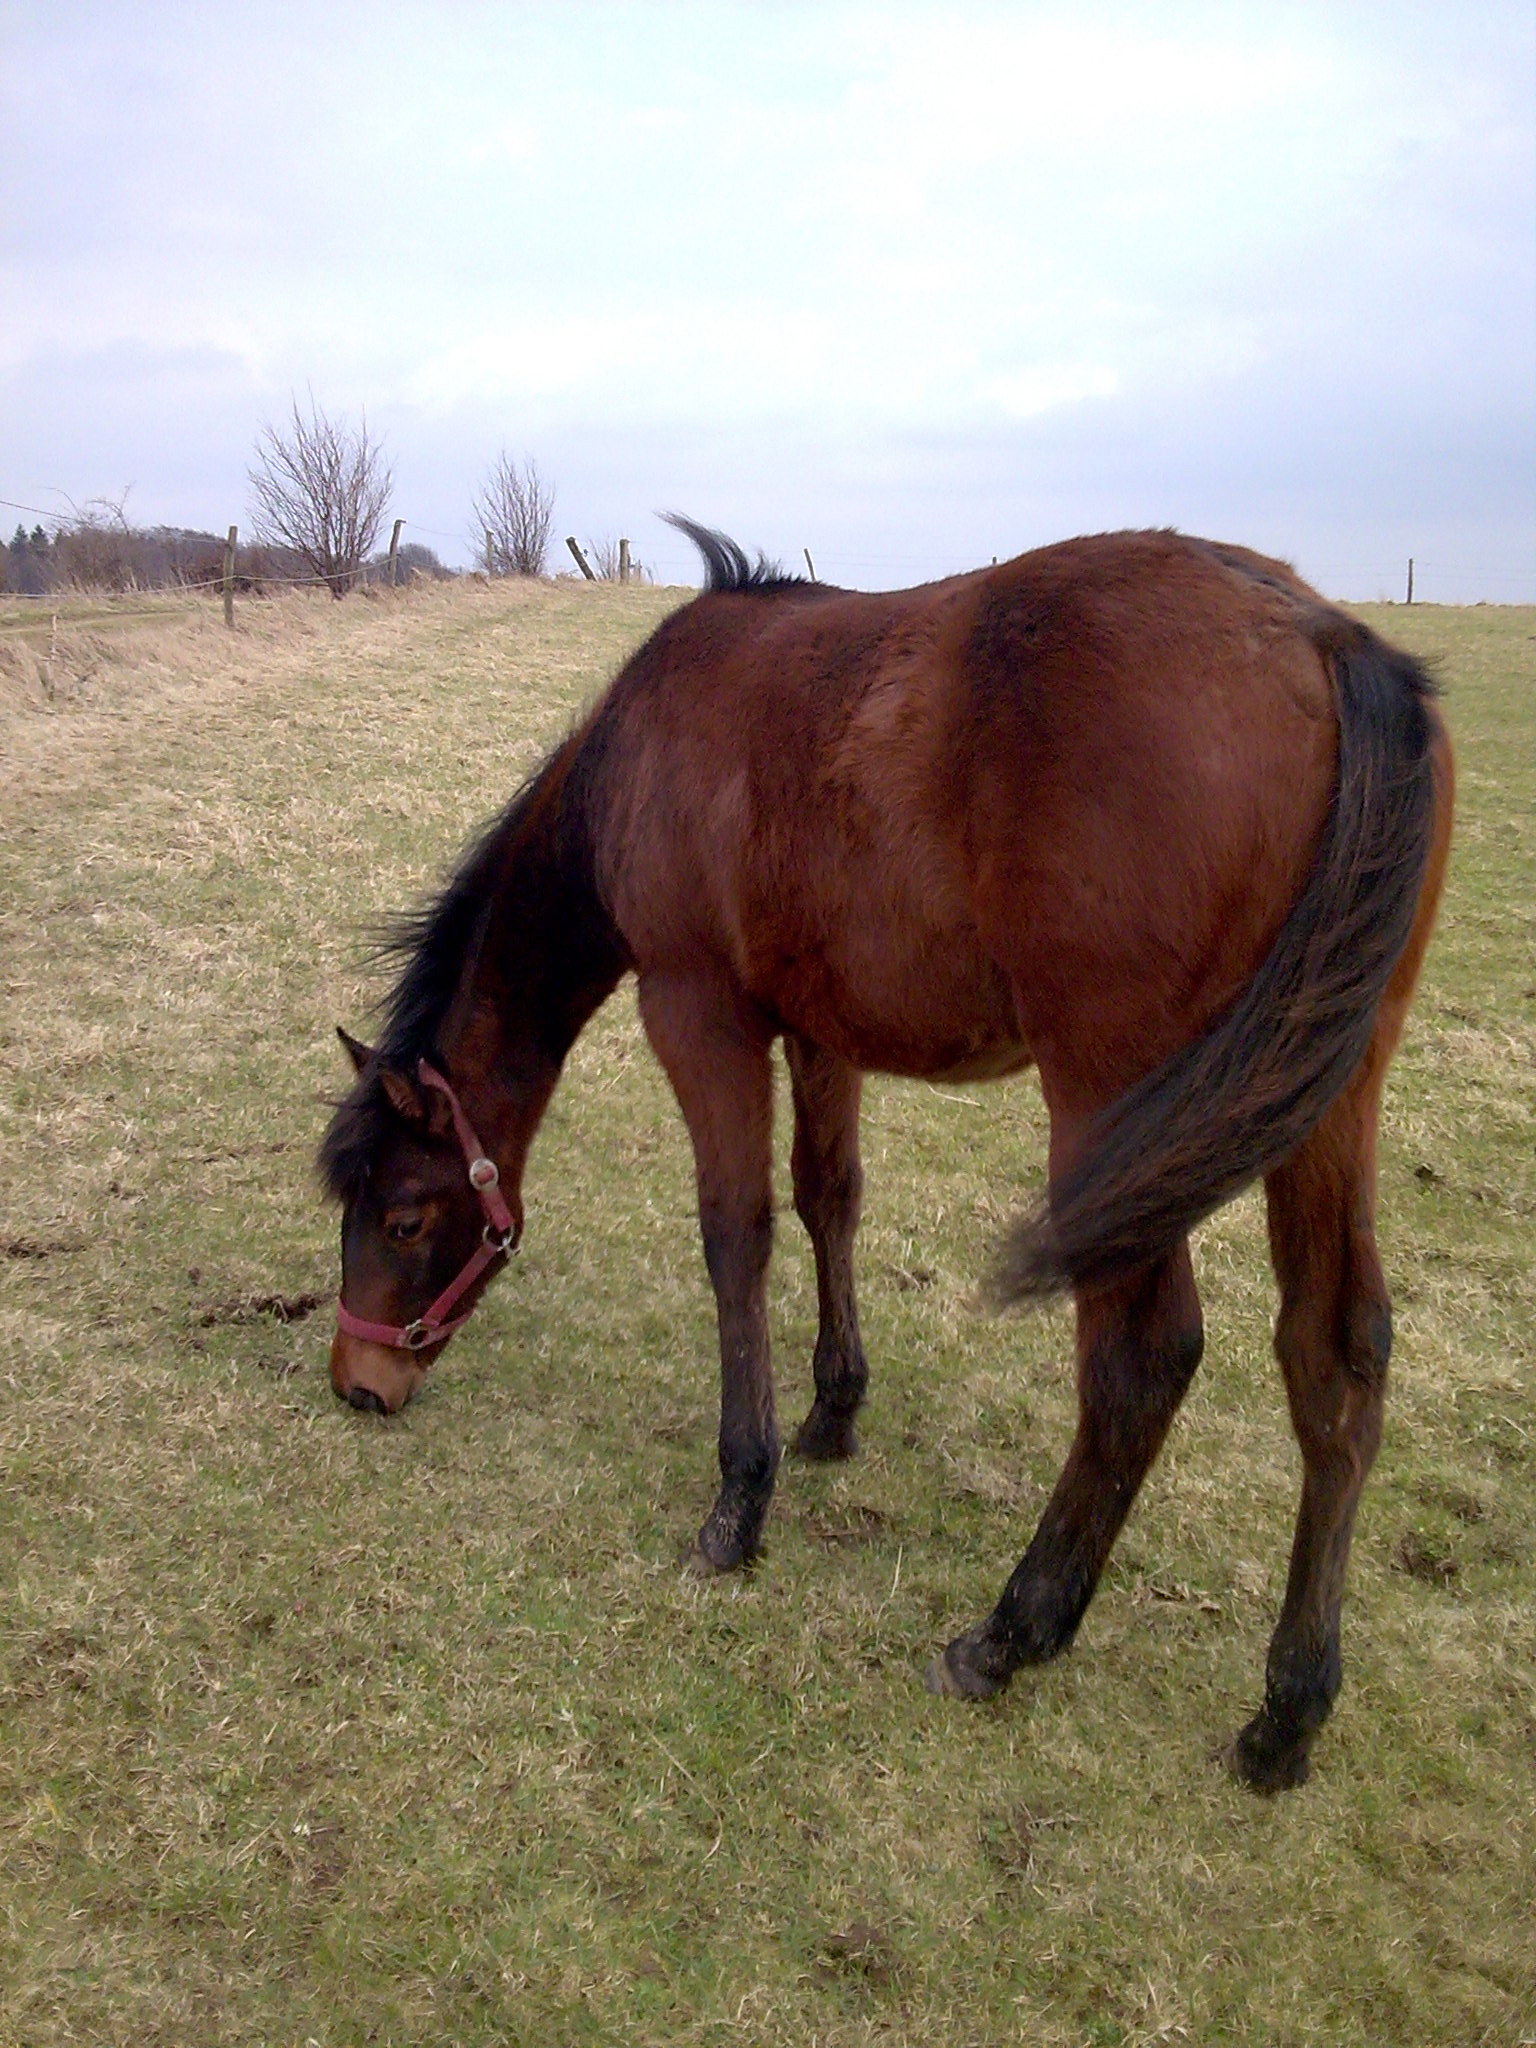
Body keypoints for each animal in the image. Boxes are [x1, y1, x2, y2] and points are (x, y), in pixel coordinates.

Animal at [320, 520, 1453, 1791]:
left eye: (405, 1218)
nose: (360, 1383)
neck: (638, 755)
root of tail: (1321, 636)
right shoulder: (819, 1028)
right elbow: (830, 1202)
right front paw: (833, 1411)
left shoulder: (698, 1014)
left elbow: (736, 1235)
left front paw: (739, 1498)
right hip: (1324, 1090)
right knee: (1334, 1356)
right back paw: (1287, 1710)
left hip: (1115, 1105)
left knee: (1143, 1355)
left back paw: (1013, 1629)